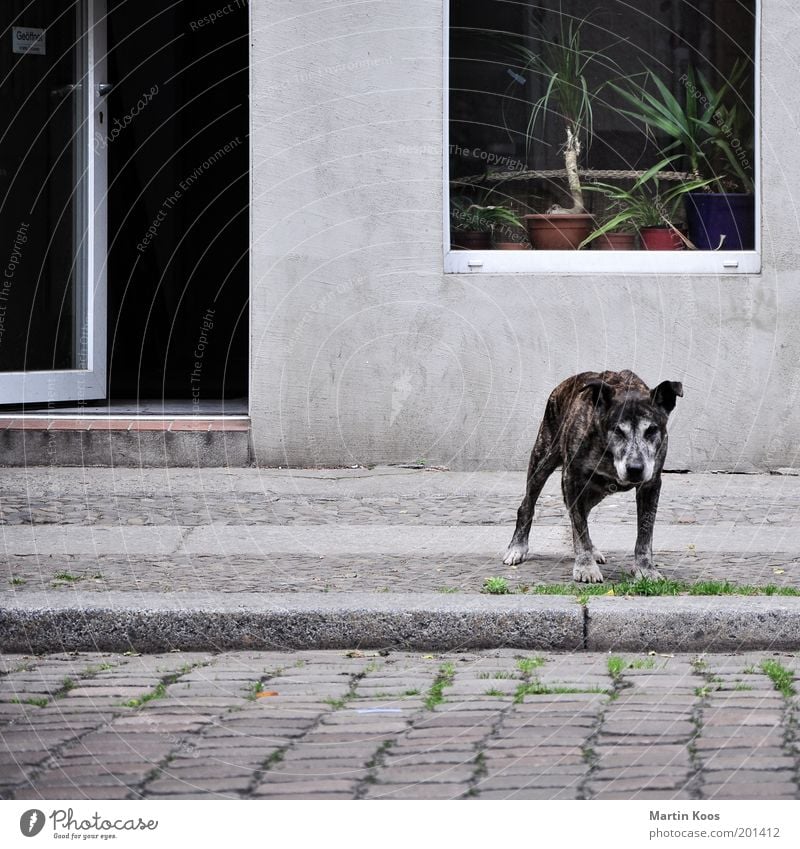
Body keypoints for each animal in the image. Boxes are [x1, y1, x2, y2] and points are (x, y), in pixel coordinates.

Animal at [506, 372, 680, 584]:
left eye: (652, 430)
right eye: (618, 430)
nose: (635, 469)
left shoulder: (651, 484)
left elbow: (645, 532)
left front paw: (645, 569)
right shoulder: (572, 479)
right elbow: (579, 527)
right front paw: (586, 566)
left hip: (597, 490)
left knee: (583, 511)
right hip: (543, 460)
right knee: (528, 505)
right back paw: (517, 547)